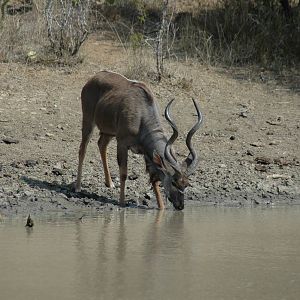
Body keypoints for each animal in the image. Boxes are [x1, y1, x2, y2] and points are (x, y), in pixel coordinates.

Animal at [74, 71, 204, 210]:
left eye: (186, 184)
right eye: (174, 182)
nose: (180, 206)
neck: (142, 116)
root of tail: (94, 77)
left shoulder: (146, 153)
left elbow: (154, 179)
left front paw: (161, 207)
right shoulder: (122, 143)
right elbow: (124, 173)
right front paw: (121, 202)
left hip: (108, 132)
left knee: (101, 144)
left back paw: (110, 183)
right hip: (88, 121)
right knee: (83, 149)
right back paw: (78, 187)